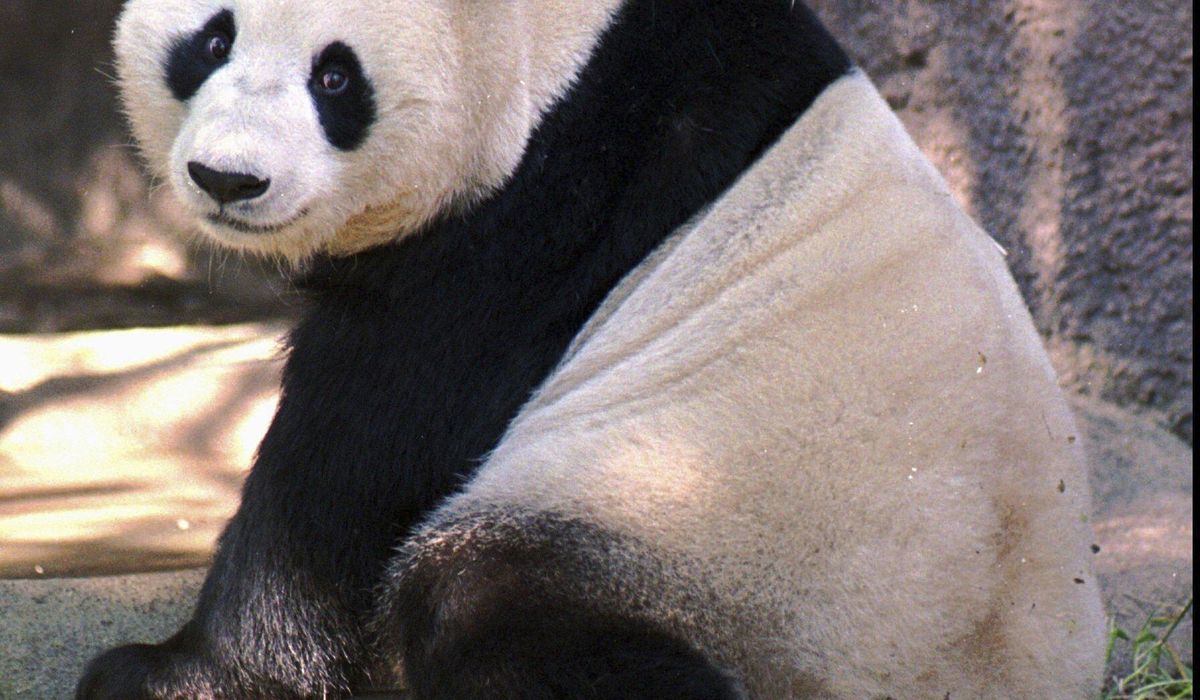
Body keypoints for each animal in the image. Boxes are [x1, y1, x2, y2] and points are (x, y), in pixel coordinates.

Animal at [79, 1, 1099, 700]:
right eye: (212, 41)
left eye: (336, 79)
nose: (229, 179)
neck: (573, 45)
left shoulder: (546, 208)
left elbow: (354, 459)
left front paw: (175, 676)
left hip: (733, 545)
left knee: (492, 601)